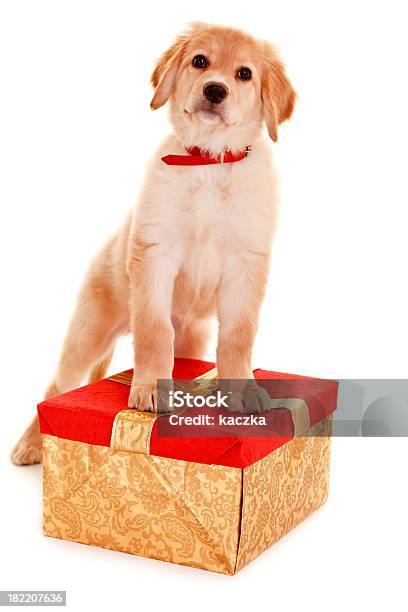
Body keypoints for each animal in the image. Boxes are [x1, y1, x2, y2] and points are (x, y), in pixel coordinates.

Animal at [11, 21, 294, 466]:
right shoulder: (156, 256)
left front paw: (241, 389)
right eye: (200, 61)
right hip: (89, 329)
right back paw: (31, 442)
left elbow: (238, 335)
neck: (208, 163)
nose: (215, 90)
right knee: (58, 385)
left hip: (193, 336)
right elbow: (153, 330)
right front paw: (148, 389)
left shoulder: (246, 263)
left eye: (244, 74)